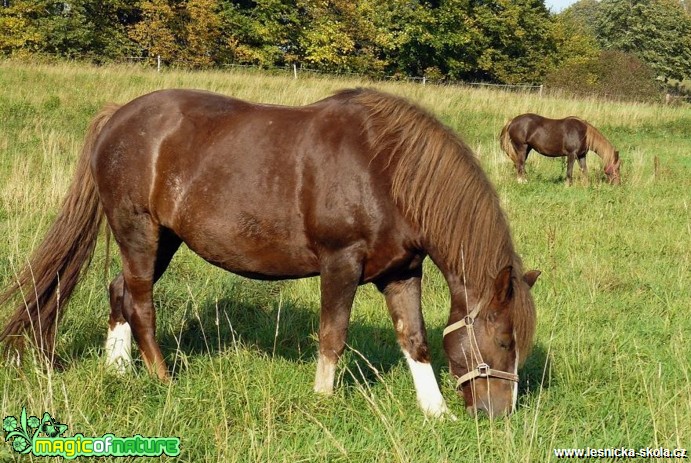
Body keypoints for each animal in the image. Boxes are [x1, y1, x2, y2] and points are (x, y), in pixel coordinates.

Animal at [0, 89, 540, 418]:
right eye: (506, 340)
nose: (499, 414)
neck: (387, 172)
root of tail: (118, 115)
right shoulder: (340, 263)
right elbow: (332, 336)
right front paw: (323, 400)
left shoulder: (401, 272)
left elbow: (416, 339)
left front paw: (435, 410)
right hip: (138, 231)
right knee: (141, 303)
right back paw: (163, 379)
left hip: (163, 239)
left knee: (120, 292)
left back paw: (119, 370)